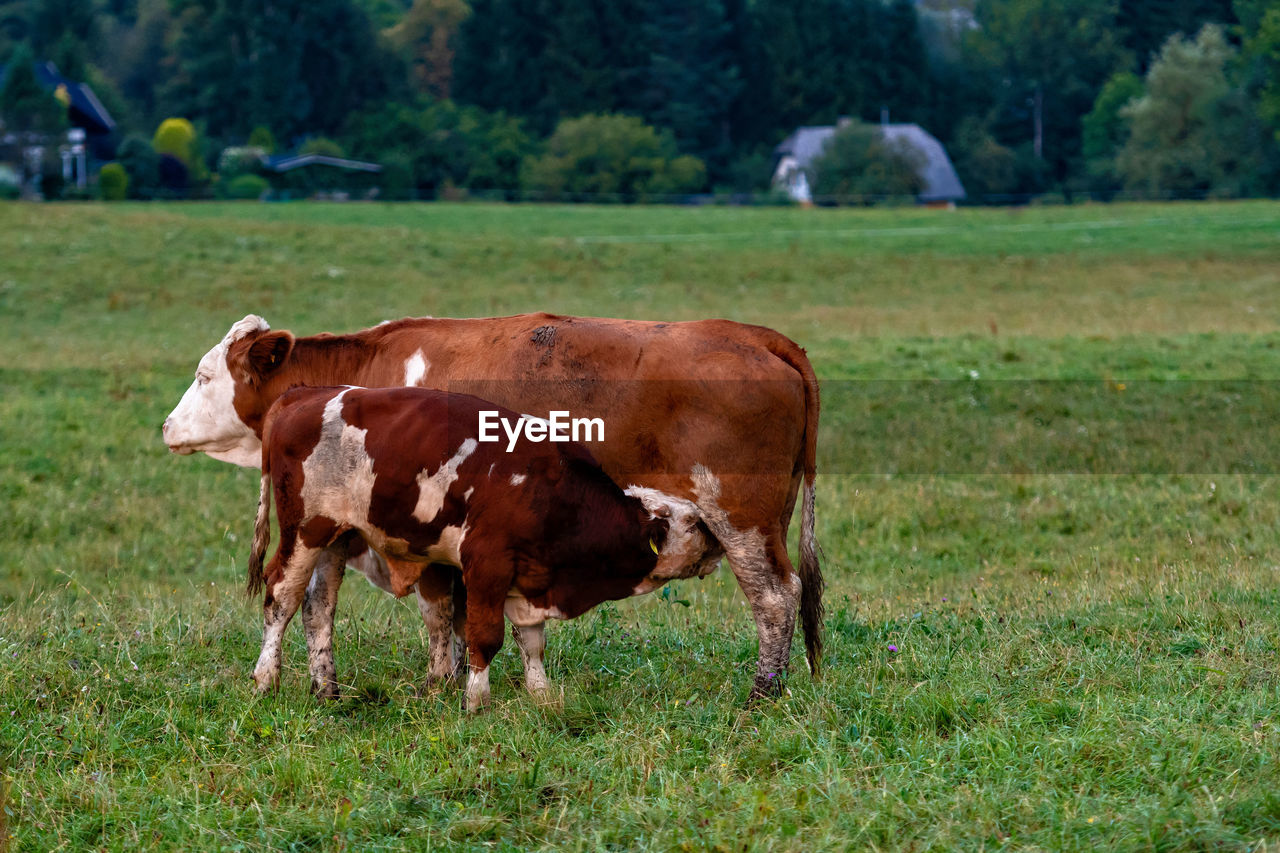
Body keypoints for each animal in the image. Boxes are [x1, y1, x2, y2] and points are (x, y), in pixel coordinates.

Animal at [244, 381, 716, 706]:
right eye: (694, 523)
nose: (716, 540)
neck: (552, 494)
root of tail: (303, 393)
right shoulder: (487, 565)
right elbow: (485, 637)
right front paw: (476, 700)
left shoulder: (531, 577)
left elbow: (532, 641)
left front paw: (541, 695)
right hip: (306, 530)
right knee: (280, 597)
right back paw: (266, 679)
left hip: (337, 537)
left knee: (318, 608)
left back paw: (327, 689)